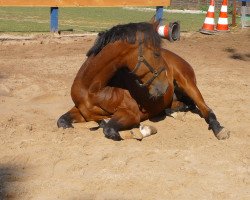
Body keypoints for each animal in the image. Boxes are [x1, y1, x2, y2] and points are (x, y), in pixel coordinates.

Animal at [57, 21, 229, 141]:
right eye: (156, 54)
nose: (164, 86)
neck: (93, 88)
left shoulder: (131, 114)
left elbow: (110, 130)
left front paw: (144, 130)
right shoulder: (82, 112)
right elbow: (62, 122)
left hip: (189, 85)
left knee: (206, 110)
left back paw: (220, 130)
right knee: (184, 106)